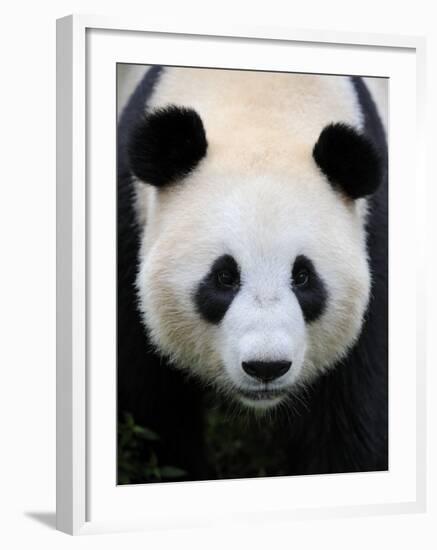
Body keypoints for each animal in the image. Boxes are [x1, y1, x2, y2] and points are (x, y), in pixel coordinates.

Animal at [117, 67, 386, 486]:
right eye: (224, 277)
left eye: (303, 277)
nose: (266, 367)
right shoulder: (129, 227)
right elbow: (152, 406)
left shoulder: (373, 236)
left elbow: (350, 412)